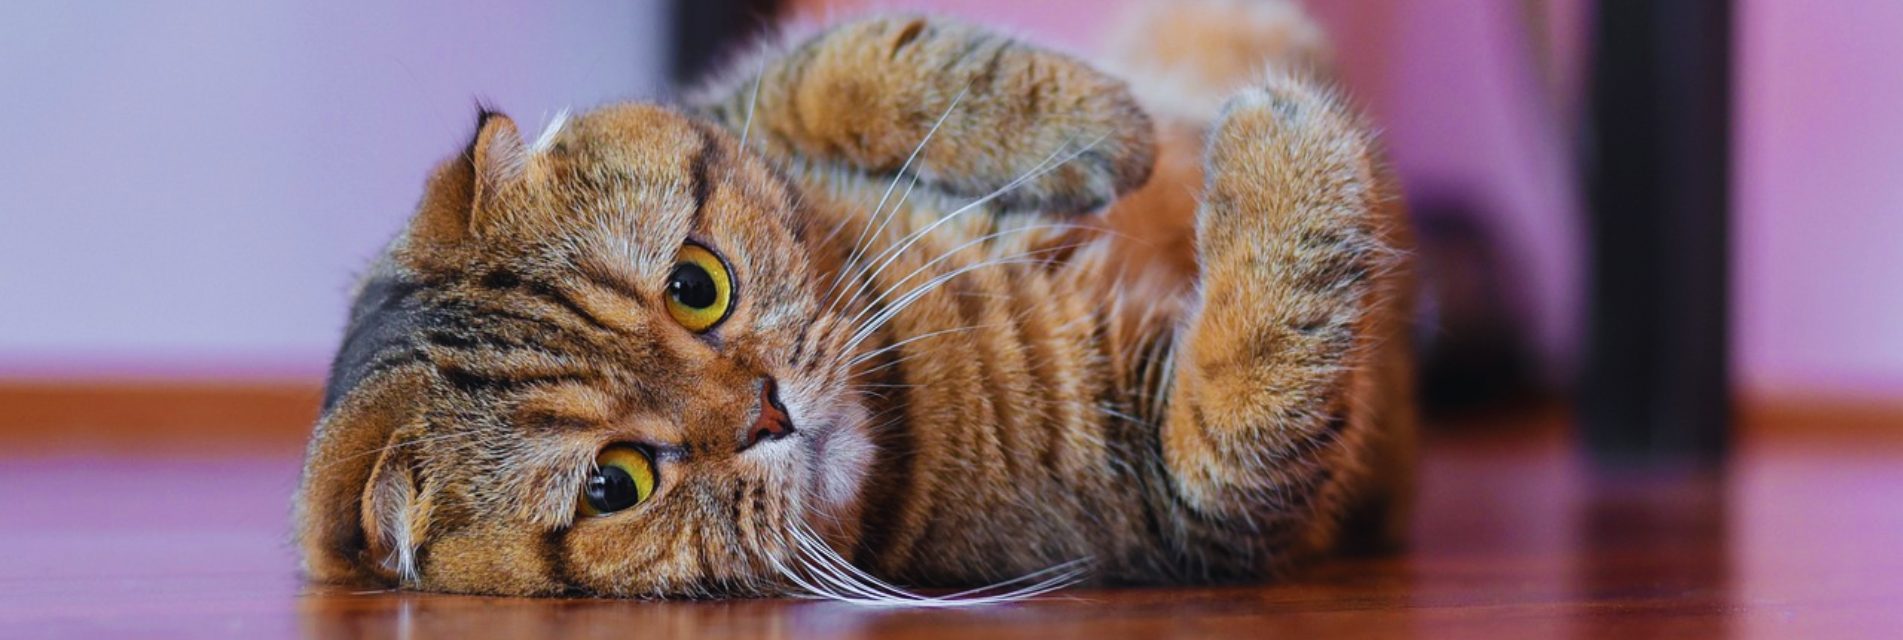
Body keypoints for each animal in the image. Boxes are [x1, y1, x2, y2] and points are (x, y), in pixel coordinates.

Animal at [285, 0, 1415, 601]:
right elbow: (1250, 399)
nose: (768, 412)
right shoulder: (1180, 500)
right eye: (614, 484)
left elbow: (836, 62)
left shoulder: (745, 100)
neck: (903, 386)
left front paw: (1094, 123)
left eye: (696, 288)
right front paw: (1283, 145)